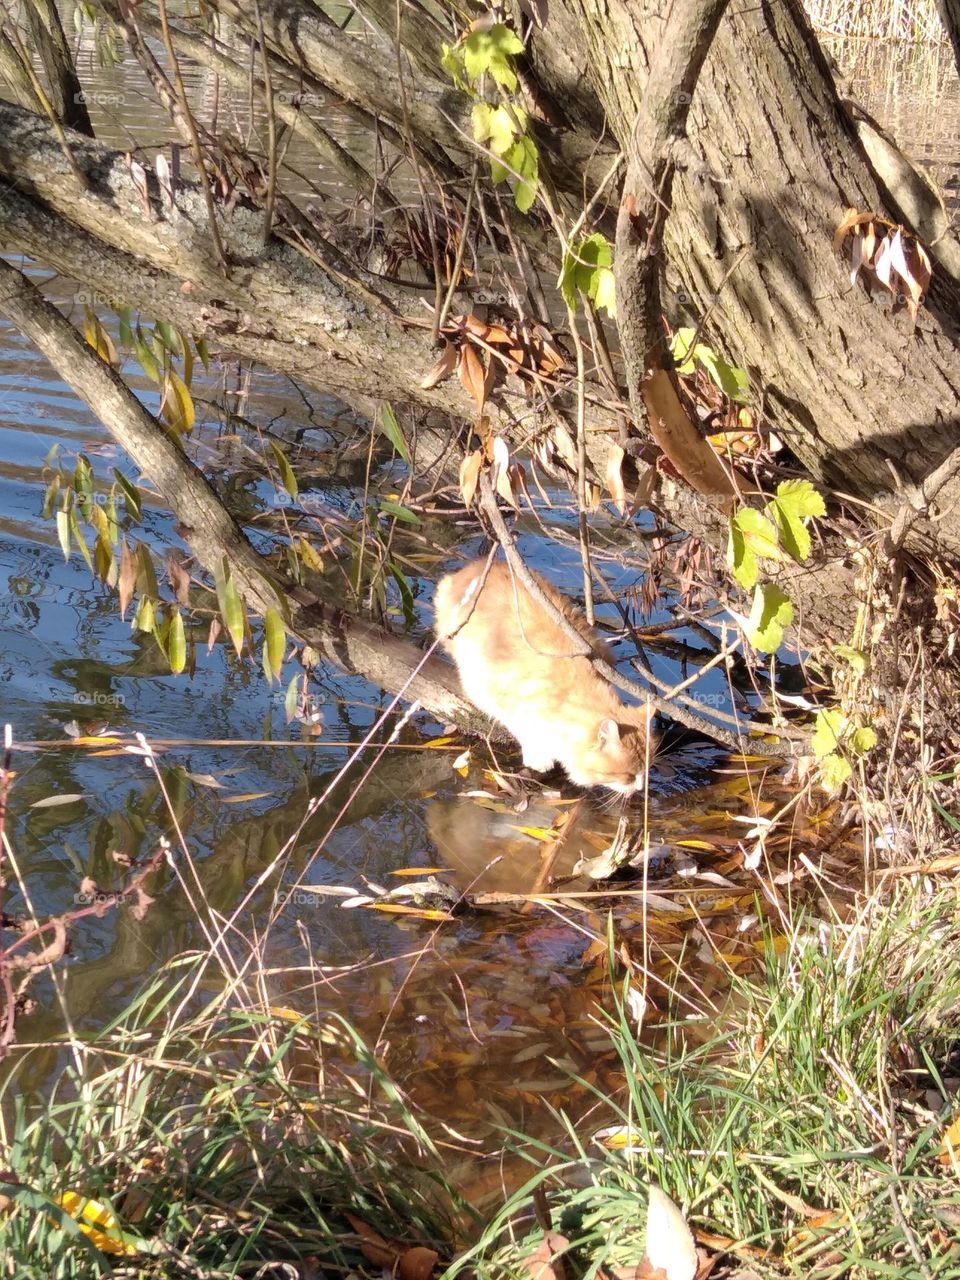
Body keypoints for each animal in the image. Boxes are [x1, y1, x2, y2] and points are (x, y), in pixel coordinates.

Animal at [435, 558, 655, 788]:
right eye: (628, 776)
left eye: (646, 770)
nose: (640, 788)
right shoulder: (504, 698)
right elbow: (525, 730)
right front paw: (539, 758)